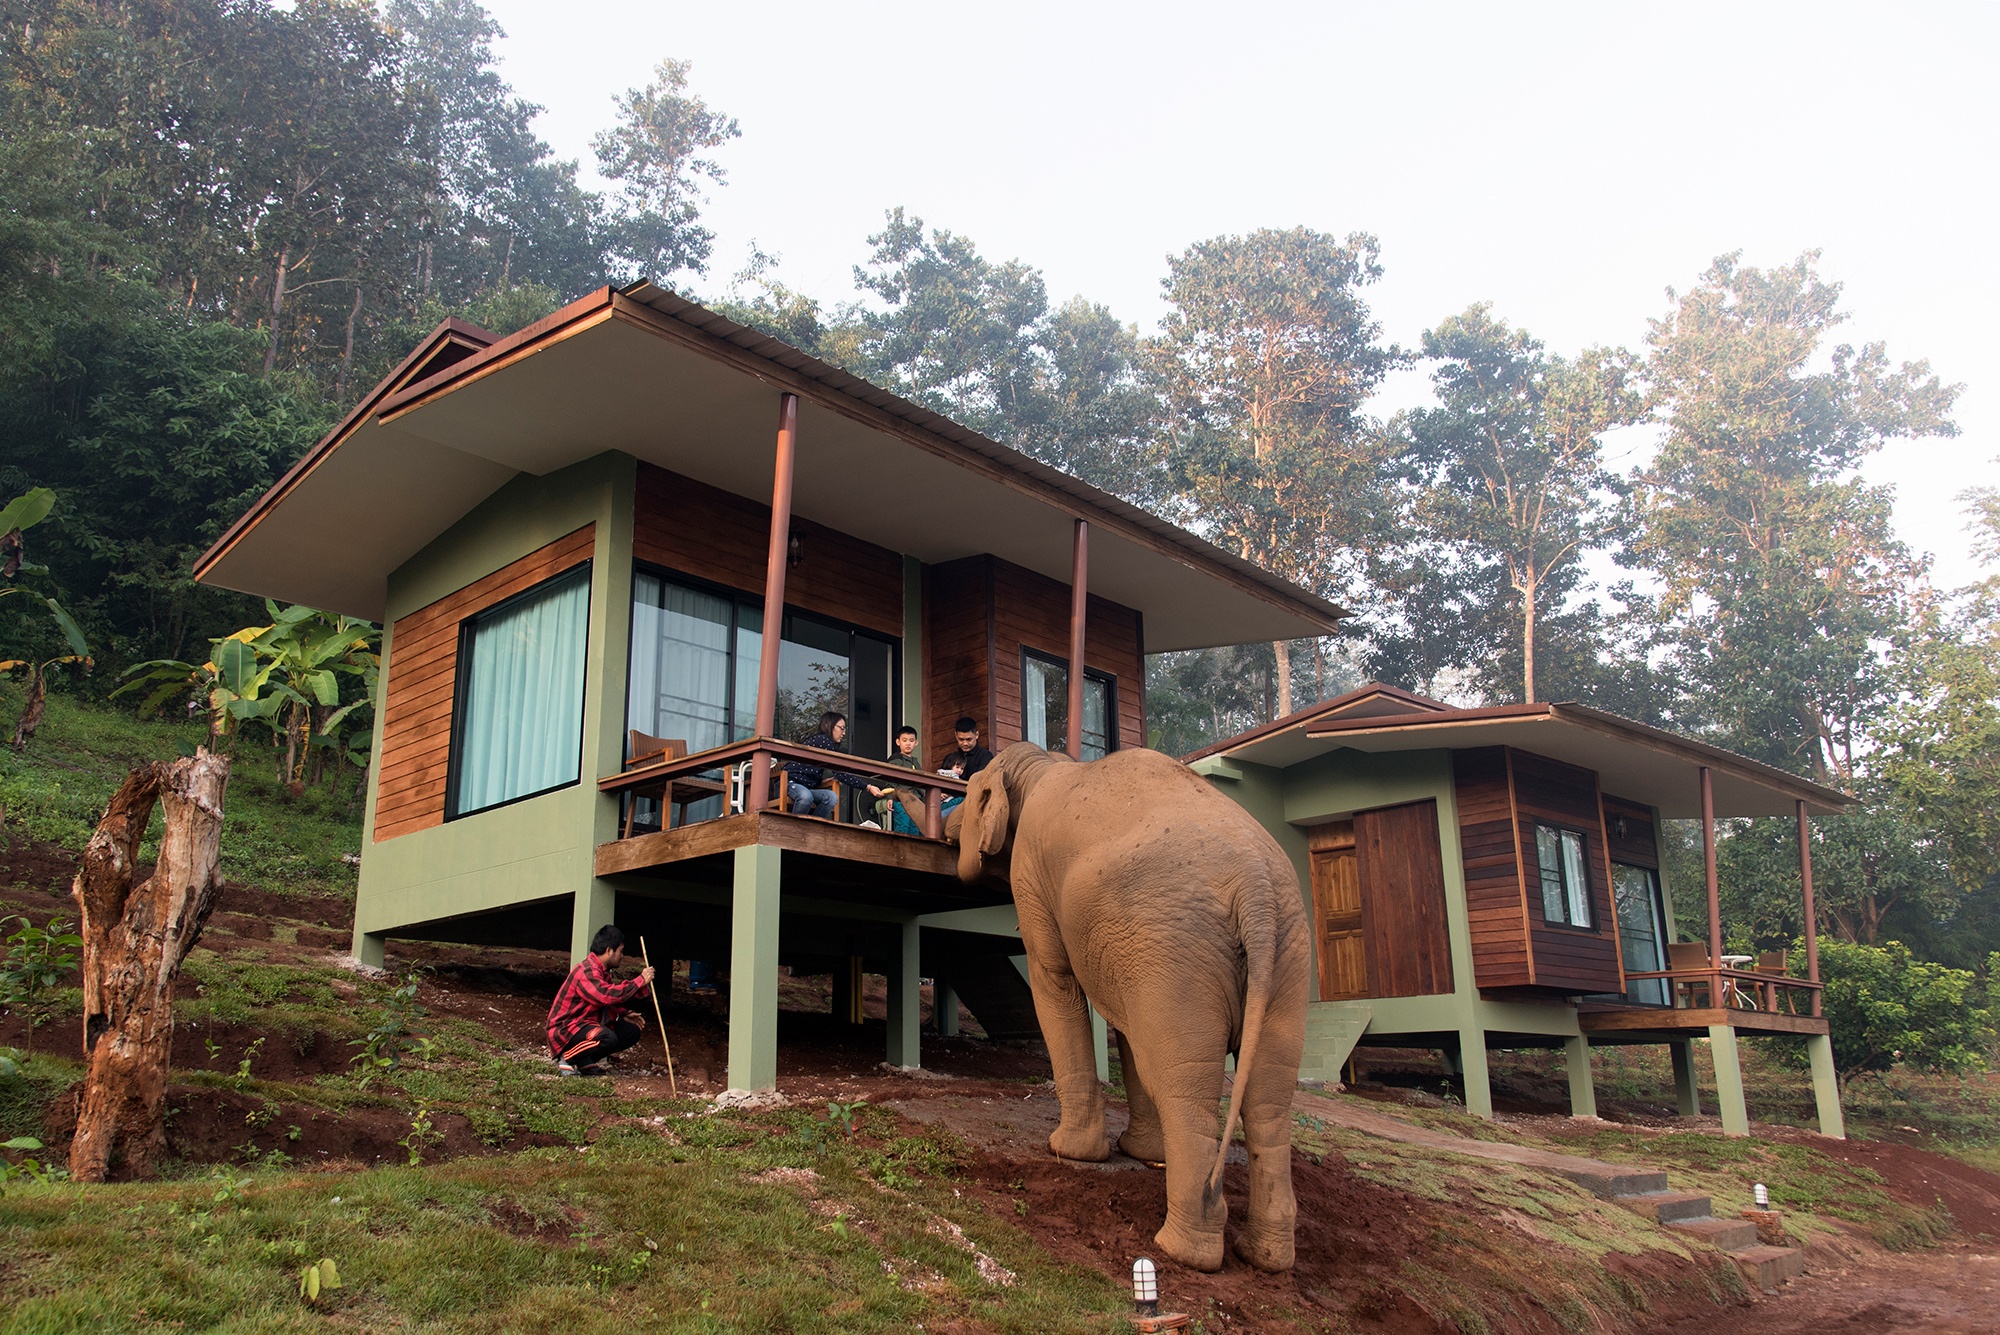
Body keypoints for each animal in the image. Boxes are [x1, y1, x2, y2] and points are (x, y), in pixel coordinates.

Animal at [952, 739, 1312, 1271]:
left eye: (970, 796)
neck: (1044, 763)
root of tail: (1257, 890)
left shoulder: (1032, 872)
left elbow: (1054, 980)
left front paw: (1069, 1150)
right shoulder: (1125, 949)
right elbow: (1127, 1029)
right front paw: (1137, 1151)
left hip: (1180, 951)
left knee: (1187, 1088)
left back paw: (1182, 1248)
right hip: (1283, 959)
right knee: (1269, 1097)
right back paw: (1265, 1256)